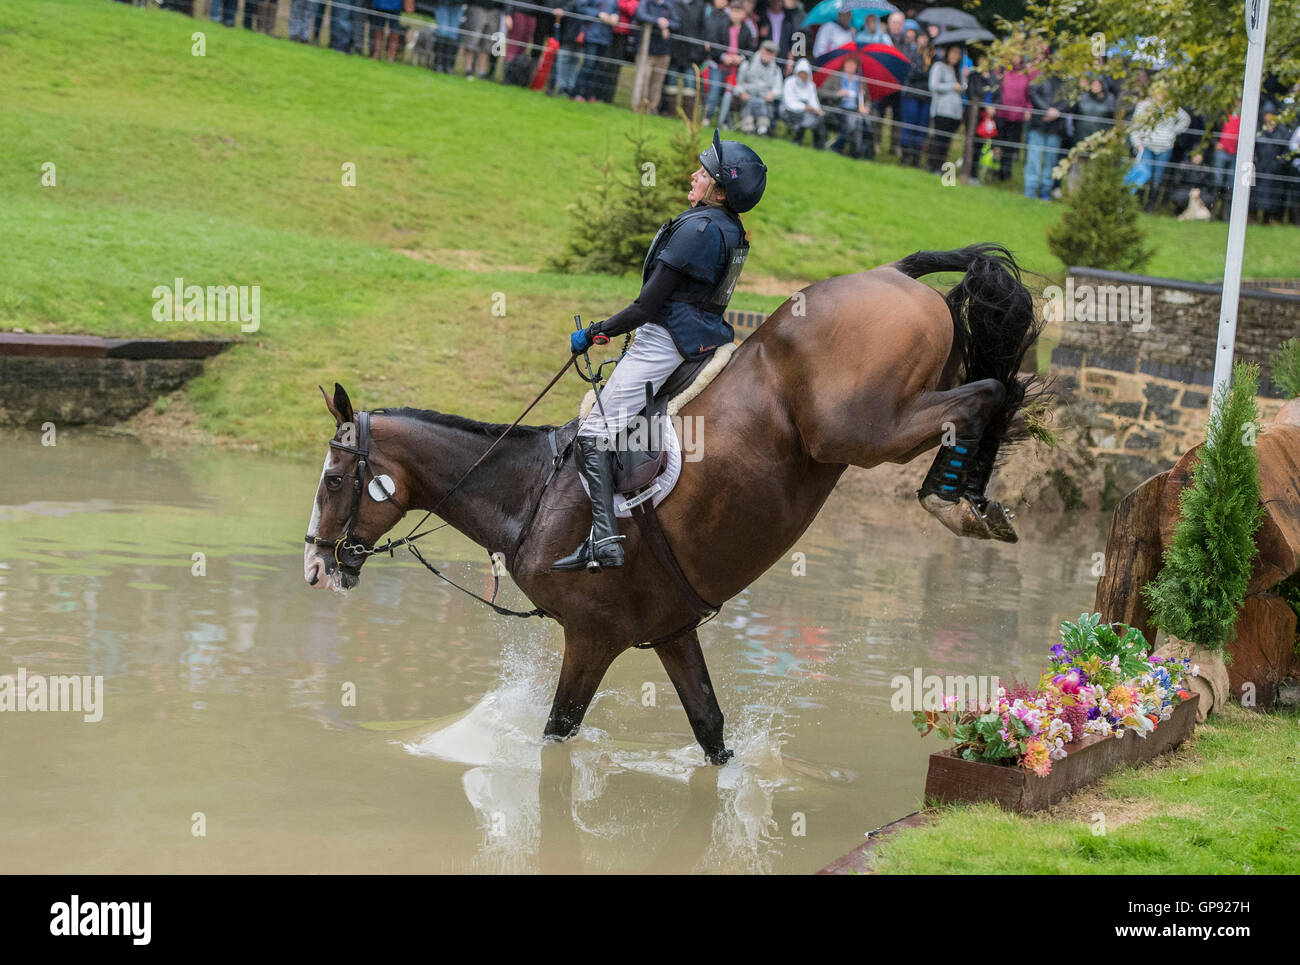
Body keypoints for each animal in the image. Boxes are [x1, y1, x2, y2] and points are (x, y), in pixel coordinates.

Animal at [303, 244, 1043, 764]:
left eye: (334, 480)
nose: (314, 565)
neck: (529, 494)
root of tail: (894, 271)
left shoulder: (592, 635)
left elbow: (558, 729)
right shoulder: (672, 631)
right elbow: (711, 730)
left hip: (858, 431)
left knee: (987, 394)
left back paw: (949, 499)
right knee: (996, 389)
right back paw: (971, 499)